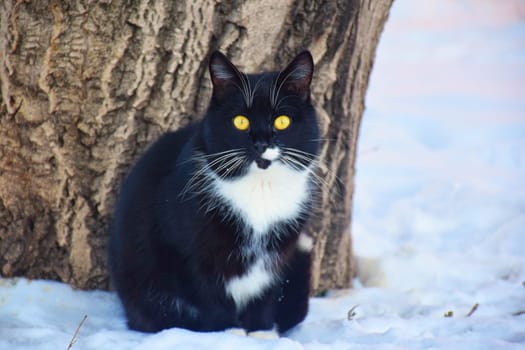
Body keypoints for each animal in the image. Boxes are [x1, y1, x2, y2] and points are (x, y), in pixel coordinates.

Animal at [109, 50, 322, 334]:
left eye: (282, 120)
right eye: (240, 121)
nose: (261, 143)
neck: (260, 189)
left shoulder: (280, 247)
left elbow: (266, 289)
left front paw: (261, 333)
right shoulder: (189, 248)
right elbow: (209, 292)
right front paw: (227, 333)